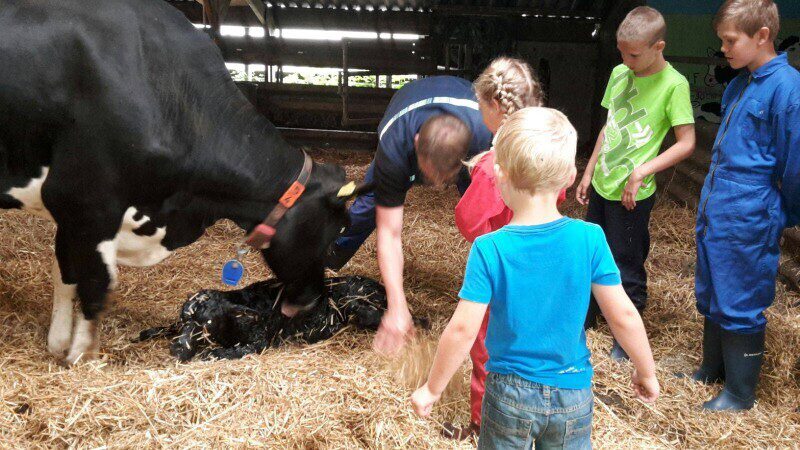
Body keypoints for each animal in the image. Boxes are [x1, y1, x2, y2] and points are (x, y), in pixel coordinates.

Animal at [0, 0, 366, 364]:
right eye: (336, 231)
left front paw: (58, 343)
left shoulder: (74, 212)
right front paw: (83, 355)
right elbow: (94, 282)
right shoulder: (85, 199)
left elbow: (65, 272)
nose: (313, 302)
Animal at [136, 276, 424, 360]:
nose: (176, 348)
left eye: (208, 324)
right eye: (186, 319)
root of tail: (379, 286)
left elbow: (229, 351)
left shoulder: (258, 342)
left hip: (362, 308)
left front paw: (209, 353)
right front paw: (143, 334)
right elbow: (166, 326)